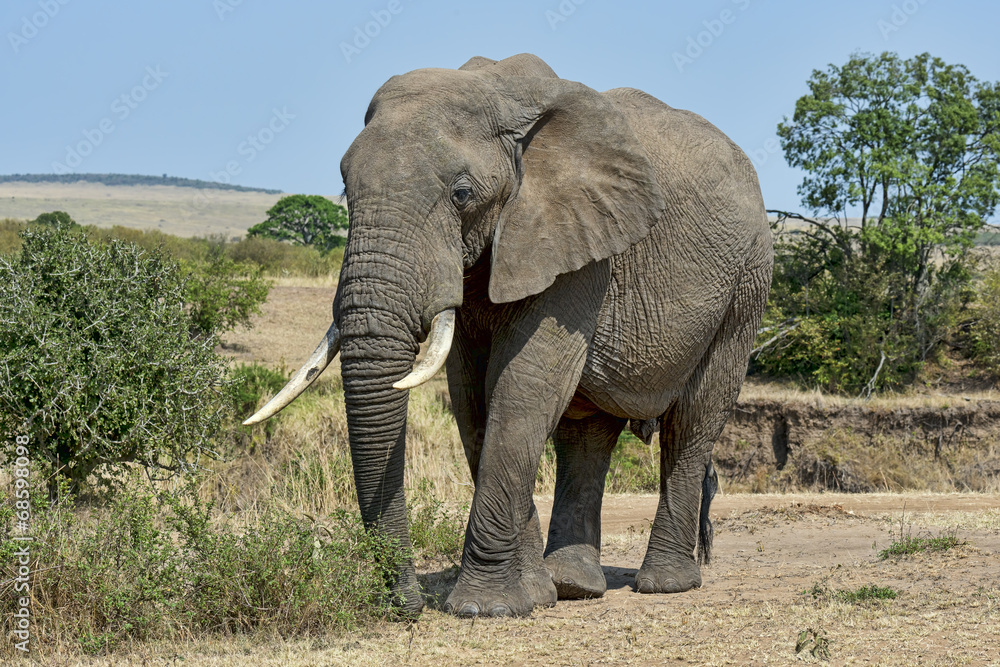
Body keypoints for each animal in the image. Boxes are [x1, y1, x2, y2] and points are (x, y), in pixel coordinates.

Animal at [245, 53, 772, 618]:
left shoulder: (576, 244)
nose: (404, 604)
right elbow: (473, 396)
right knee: (587, 432)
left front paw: (485, 608)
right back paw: (573, 585)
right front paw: (532, 595)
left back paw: (665, 584)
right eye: (345, 189)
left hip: (746, 284)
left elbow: (523, 384)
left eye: (461, 194)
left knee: (692, 420)